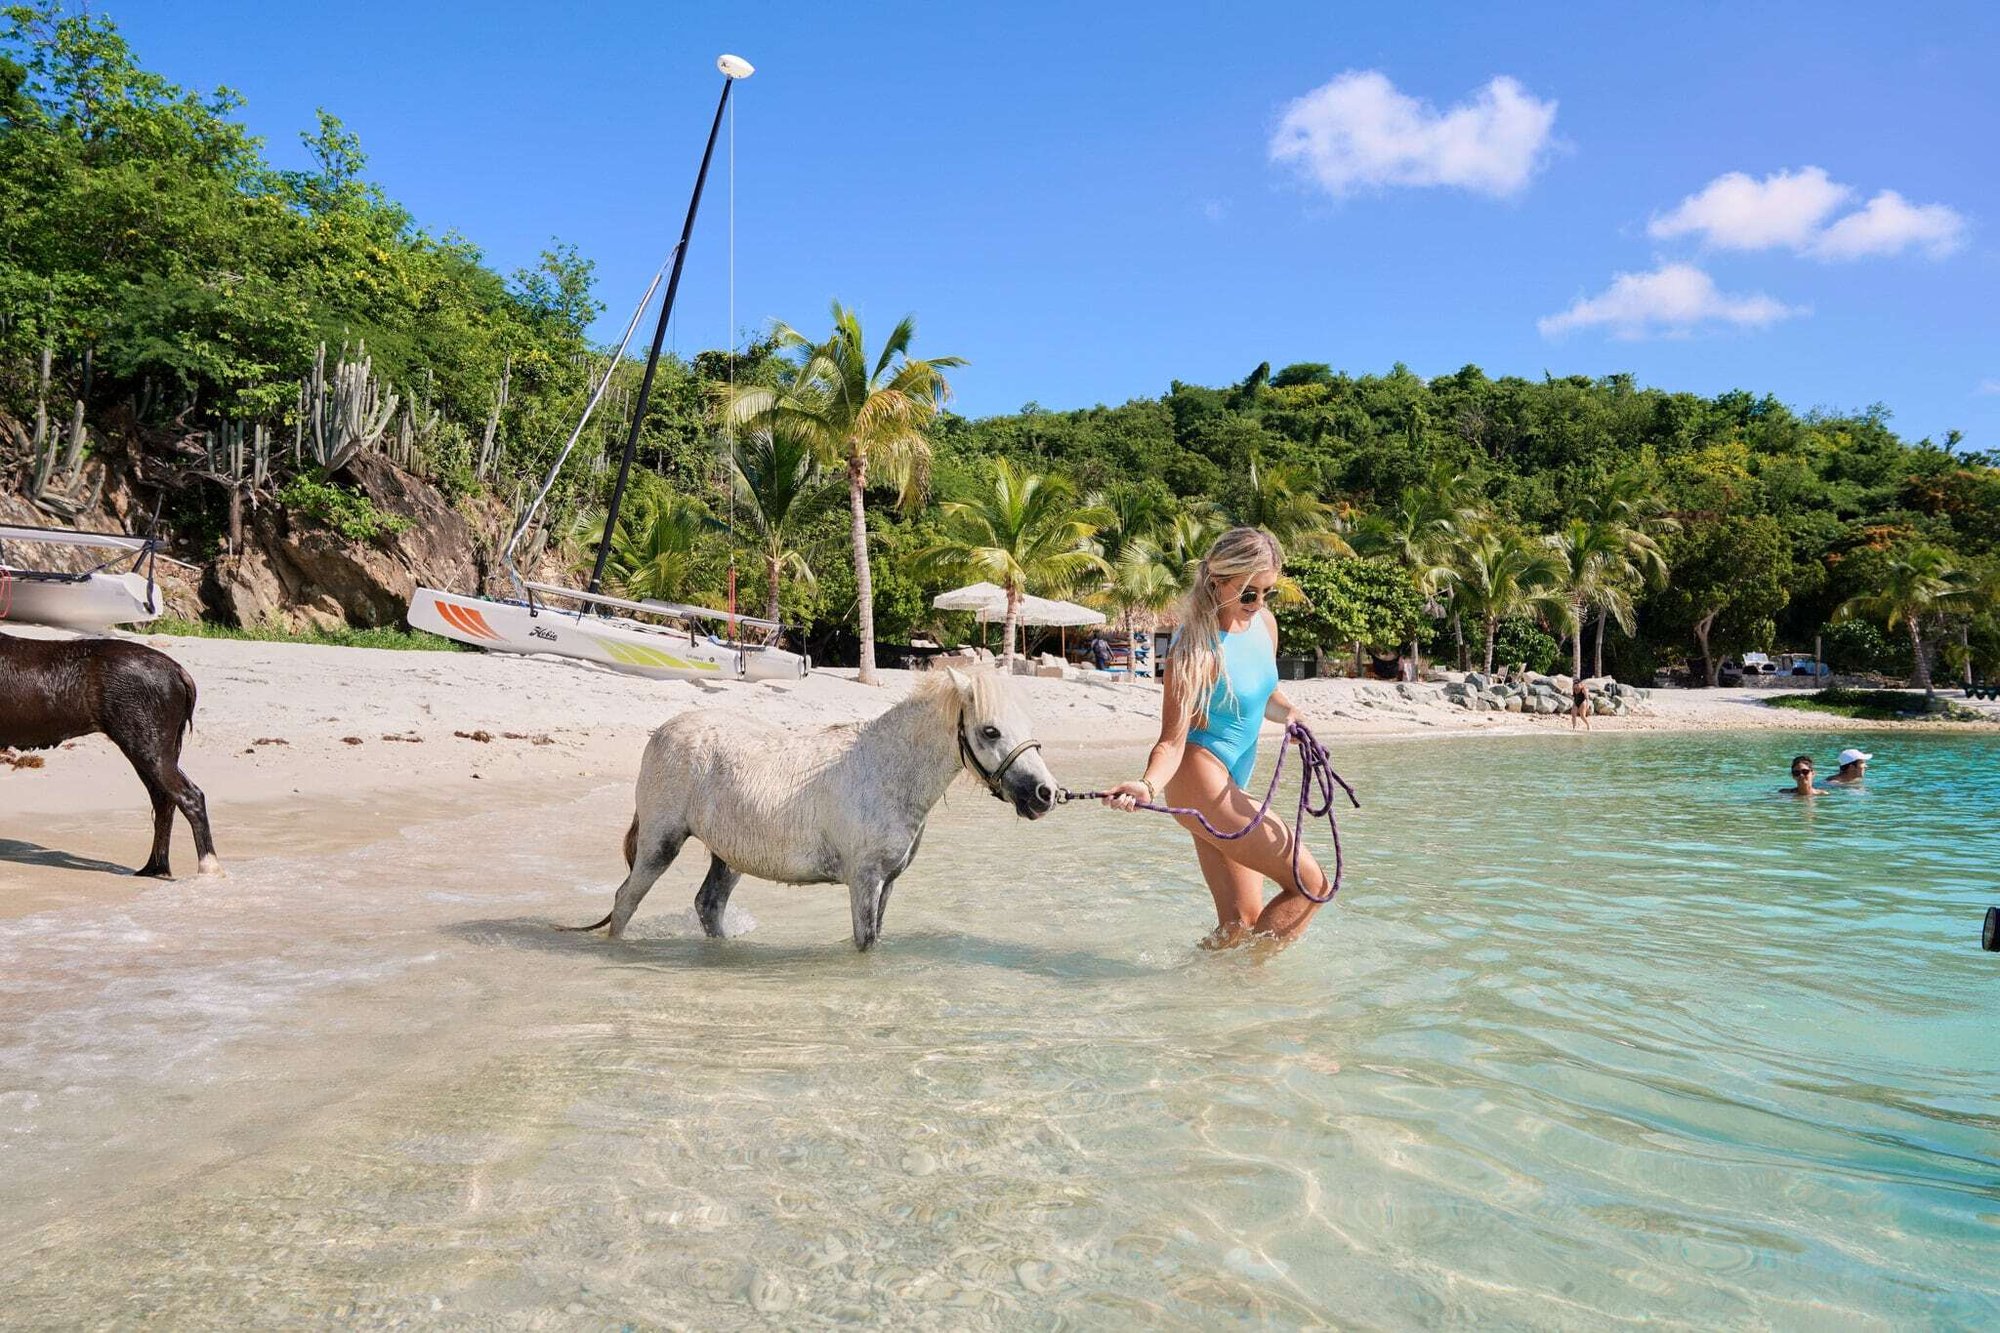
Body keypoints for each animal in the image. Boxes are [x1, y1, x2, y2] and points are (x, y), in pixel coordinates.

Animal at [0, 629, 220, 877]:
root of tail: (179, 673)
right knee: (164, 800)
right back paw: (155, 867)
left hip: (147, 745)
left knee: (189, 796)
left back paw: (208, 867)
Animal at [567, 668, 1058, 949]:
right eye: (990, 731)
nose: (1045, 794)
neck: (883, 769)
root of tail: (664, 730)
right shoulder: (864, 880)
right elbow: (864, 943)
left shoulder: (888, 882)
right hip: (660, 843)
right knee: (626, 901)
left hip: (728, 856)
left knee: (708, 906)